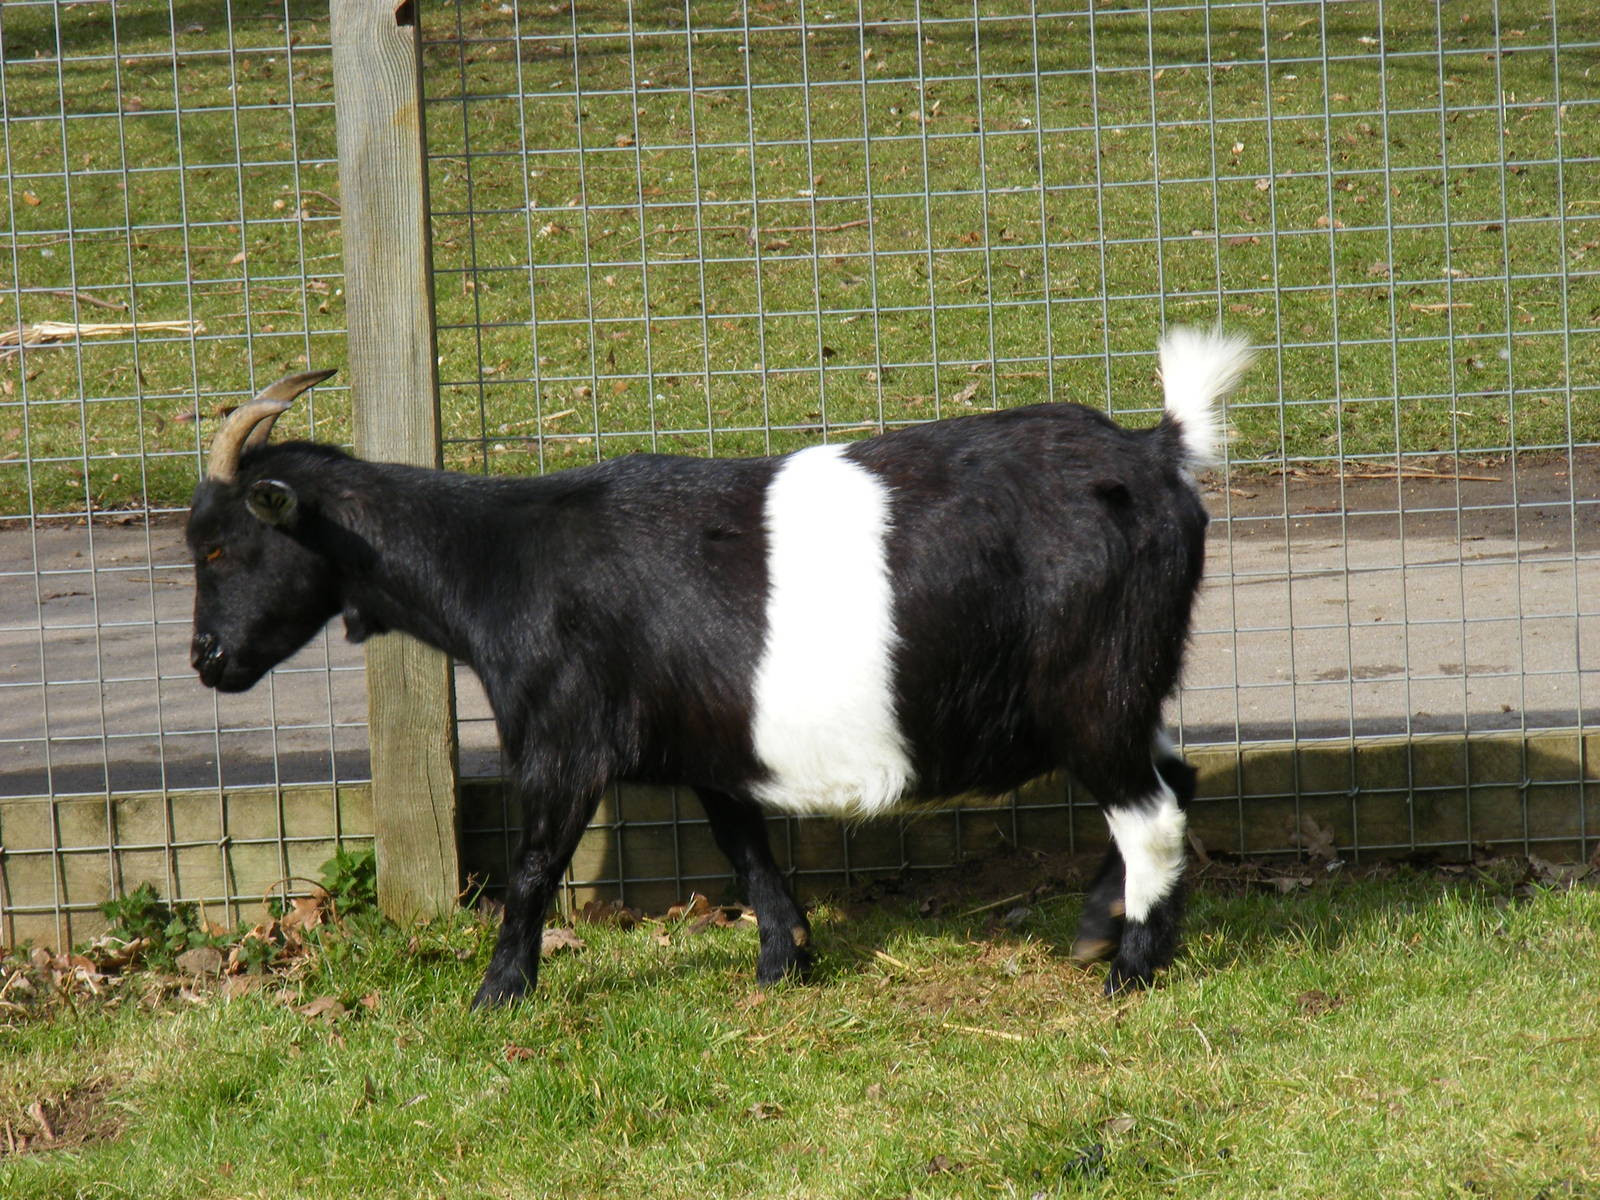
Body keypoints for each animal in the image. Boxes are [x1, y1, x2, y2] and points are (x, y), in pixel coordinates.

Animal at [187, 328, 1253, 1006]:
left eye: (220, 545)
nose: (205, 659)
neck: (505, 558)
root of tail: (1159, 453)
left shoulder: (565, 738)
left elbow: (532, 867)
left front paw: (497, 994)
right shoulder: (710, 742)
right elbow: (746, 848)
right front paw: (785, 965)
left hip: (1093, 693)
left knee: (1151, 813)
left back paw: (1128, 969)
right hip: (1133, 687)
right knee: (1179, 777)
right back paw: (1101, 928)